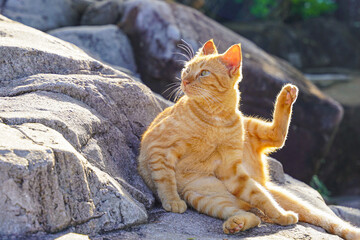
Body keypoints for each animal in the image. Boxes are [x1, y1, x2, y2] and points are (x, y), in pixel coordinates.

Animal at [139, 39, 360, 240]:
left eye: (203, 73)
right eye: (186, 70)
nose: (184, 81)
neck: (216, 118)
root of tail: (262, 180)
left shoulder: (231, 169)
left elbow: (260, 196)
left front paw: (280, 215)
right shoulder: (159, 146)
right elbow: (165, 178)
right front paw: (172, 201)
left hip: (250, 127)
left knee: (273, 151)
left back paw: (287, 95)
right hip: (204, 197)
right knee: (250, 213)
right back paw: (236, 223)